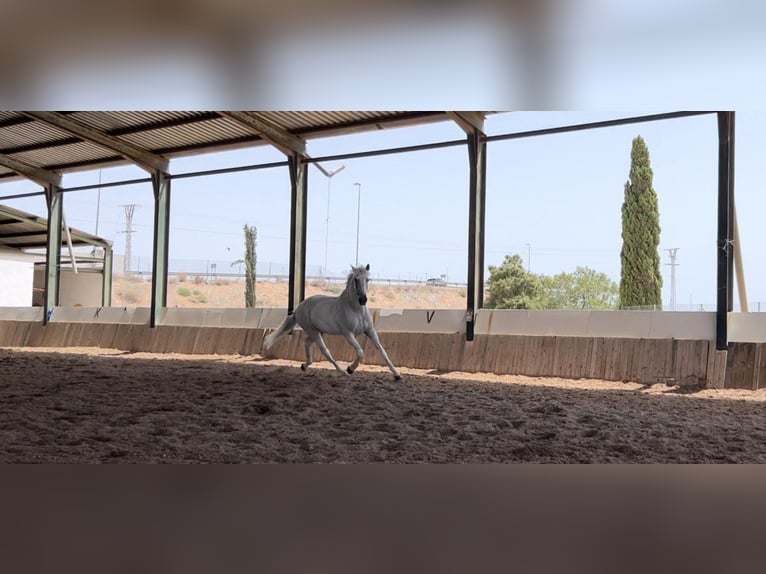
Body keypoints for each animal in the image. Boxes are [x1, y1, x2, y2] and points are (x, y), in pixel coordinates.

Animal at [262, 266, 402, 382]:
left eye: (368, 279)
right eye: (356, 279)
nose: (363, 300)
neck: (355, 309)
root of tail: (298, 309)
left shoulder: (370, 331)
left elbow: (383, 351)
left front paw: (397, 375)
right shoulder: (348, 334)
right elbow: (360, 351)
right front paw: (351, 369)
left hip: (318, 331)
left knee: (307, 343)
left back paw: (304, 366)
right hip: (313, 331)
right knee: (325, 351)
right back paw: (343, 372)